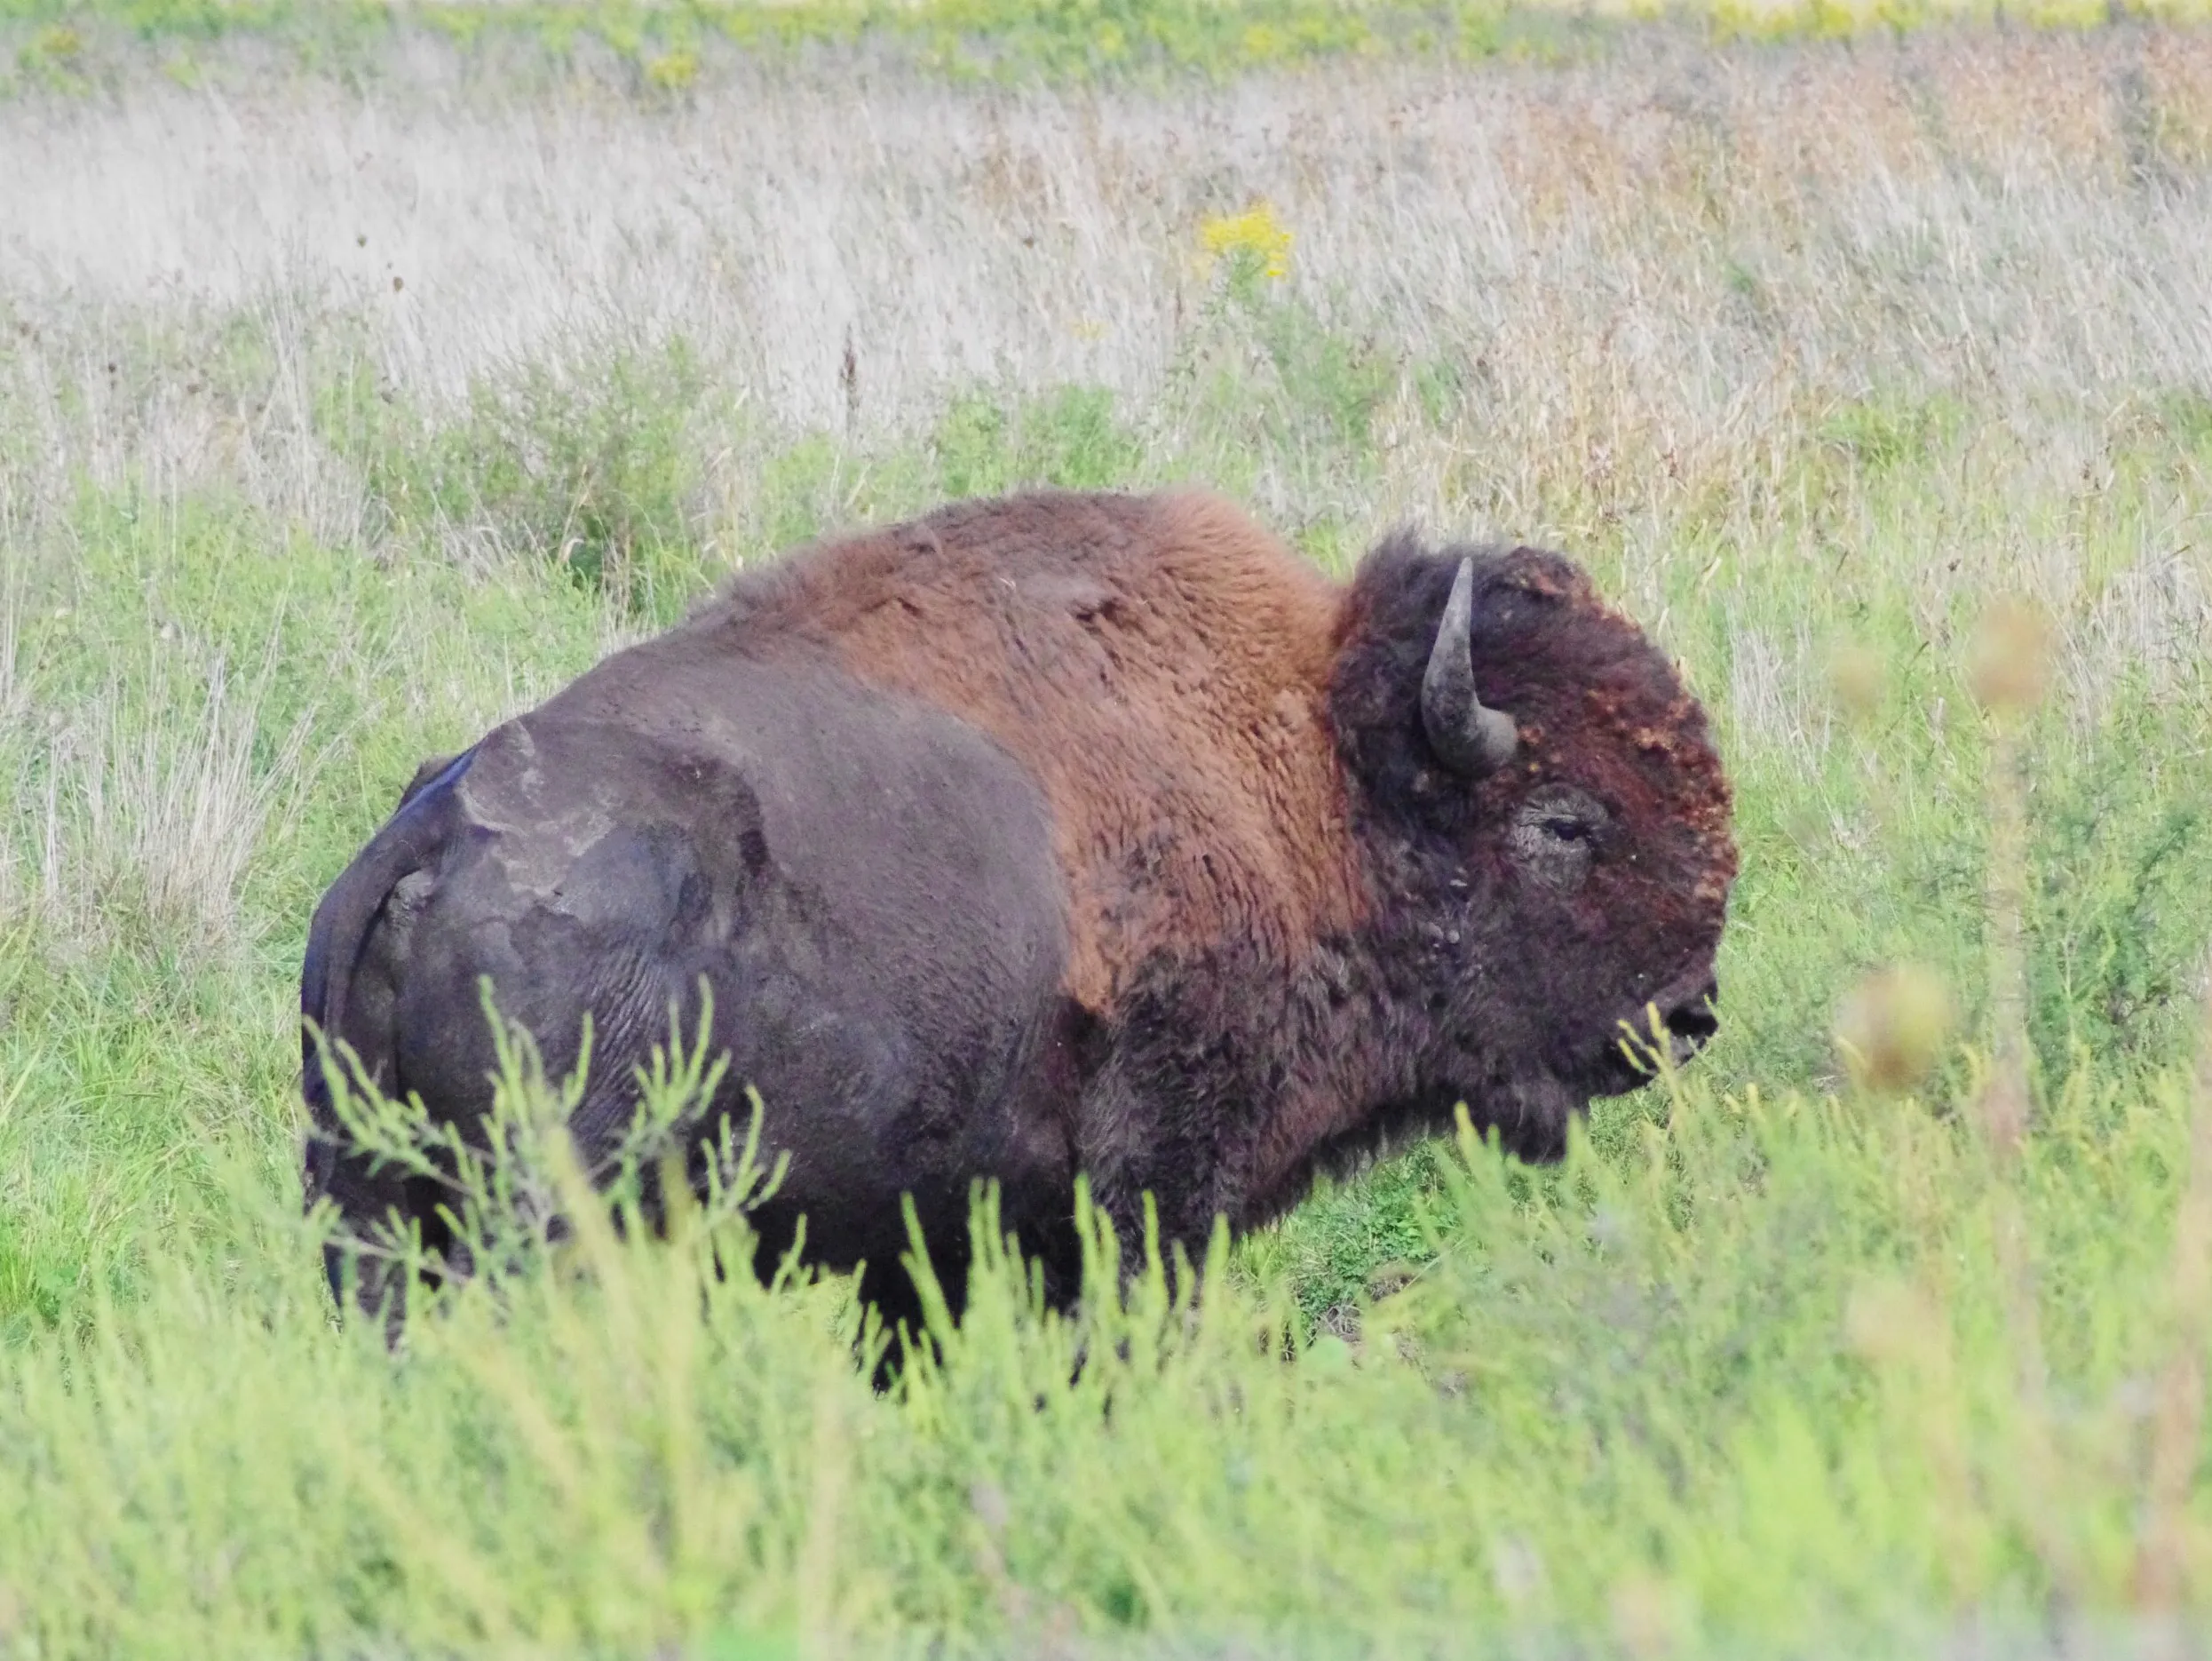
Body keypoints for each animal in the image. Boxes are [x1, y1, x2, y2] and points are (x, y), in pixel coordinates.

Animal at [302, 489, 1736, 1339]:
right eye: (1564, 821)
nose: (1686, 1014)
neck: (1306, 772)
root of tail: (433, 832)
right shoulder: (1152, 1195)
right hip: (537, 1217)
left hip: (368, 1212)